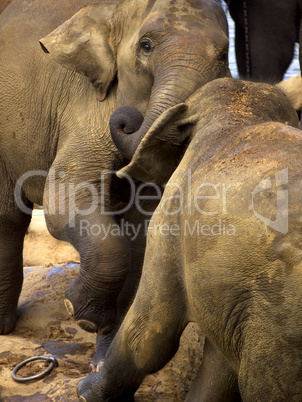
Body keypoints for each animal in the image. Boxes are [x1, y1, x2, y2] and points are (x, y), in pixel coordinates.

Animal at [0, 0, 229, 370]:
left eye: (223, 55)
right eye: (146, 46)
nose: (127, 119)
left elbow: (141, 233)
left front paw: (101, 356)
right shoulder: (88, 107)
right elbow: (64, 198)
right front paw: (80, 313)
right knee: (7, 217)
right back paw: (4, 328)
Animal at [77, 77, 302, 400]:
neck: (239, 115)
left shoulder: (171, 221)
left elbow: (146, 335)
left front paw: (84, 391)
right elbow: (220, 366)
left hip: (277, 318)